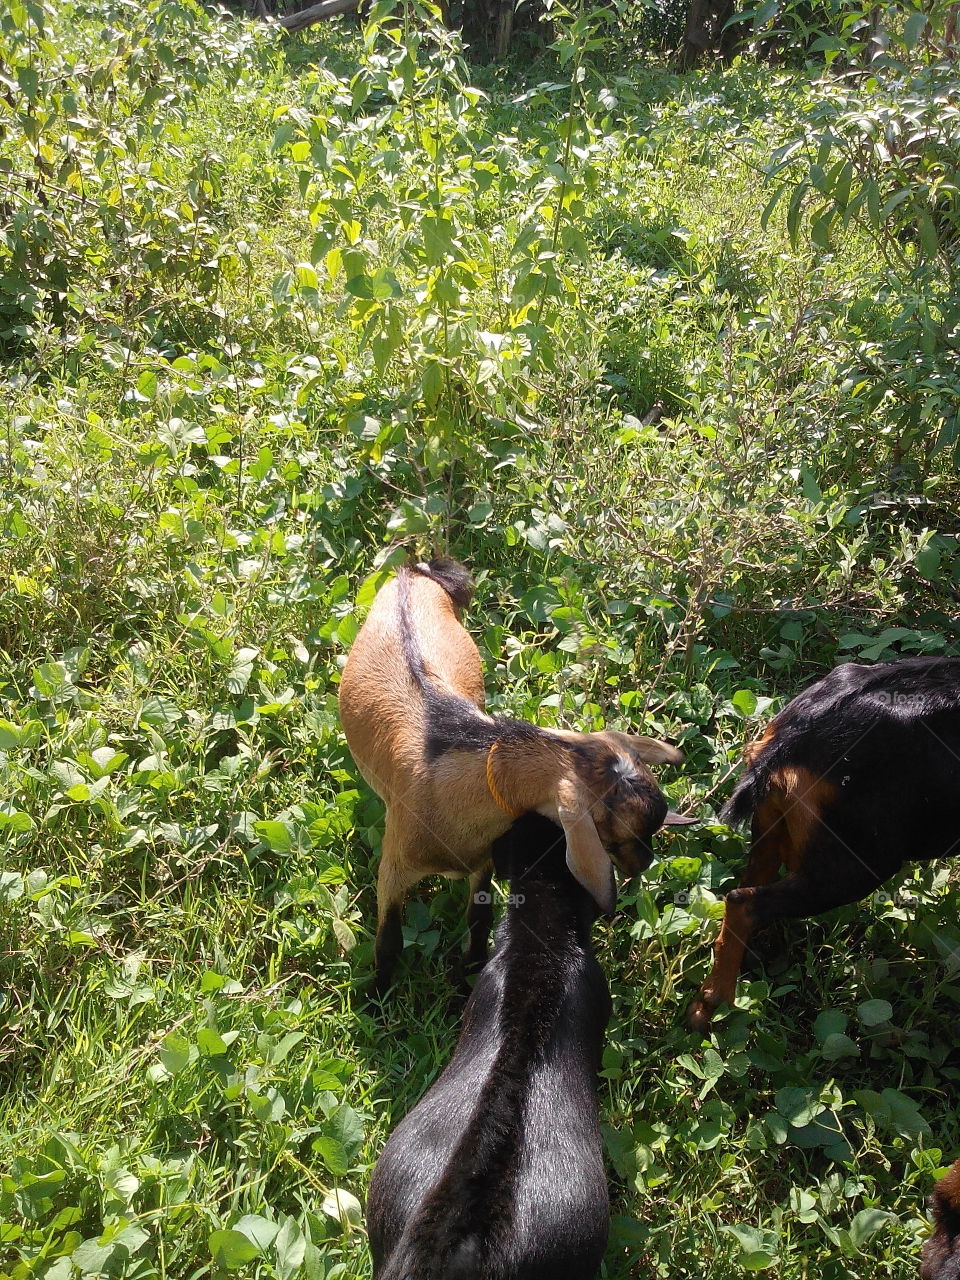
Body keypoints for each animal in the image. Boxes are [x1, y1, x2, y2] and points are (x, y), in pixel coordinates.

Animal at [338, 557, 693, 991]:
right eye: (615, 833)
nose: (643, 864)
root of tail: (415, 572)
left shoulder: (482, 860)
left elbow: (479, 918)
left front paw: (470, 972)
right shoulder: (393, 866)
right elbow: (389, 939)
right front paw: (378, 994)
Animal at [687, 656, 960, 1033]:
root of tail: (800, 733)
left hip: (772, 826)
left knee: (750, 882)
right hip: (857, 865)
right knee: (744, 902)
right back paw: (712, 1006)